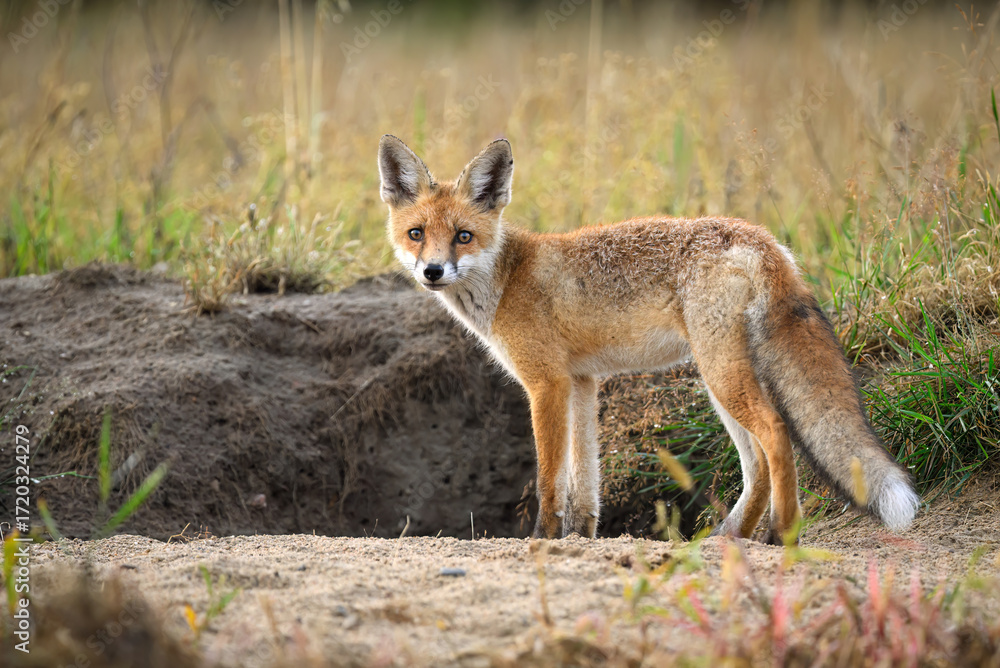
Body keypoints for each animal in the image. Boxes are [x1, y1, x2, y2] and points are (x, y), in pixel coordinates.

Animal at [377, 134, 920, 543]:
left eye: (463, 236)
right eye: (416, 233)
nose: (432, 271)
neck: (508, 279)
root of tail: (761, 238)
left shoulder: (546, 384)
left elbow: (550, 479)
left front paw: (543, 539)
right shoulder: (582, 383)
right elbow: (584, 482)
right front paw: (579, 538)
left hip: (719, 373)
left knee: (776, 434)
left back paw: (780, 535)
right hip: (719, 376)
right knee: (757, 466)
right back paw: (732, 536)